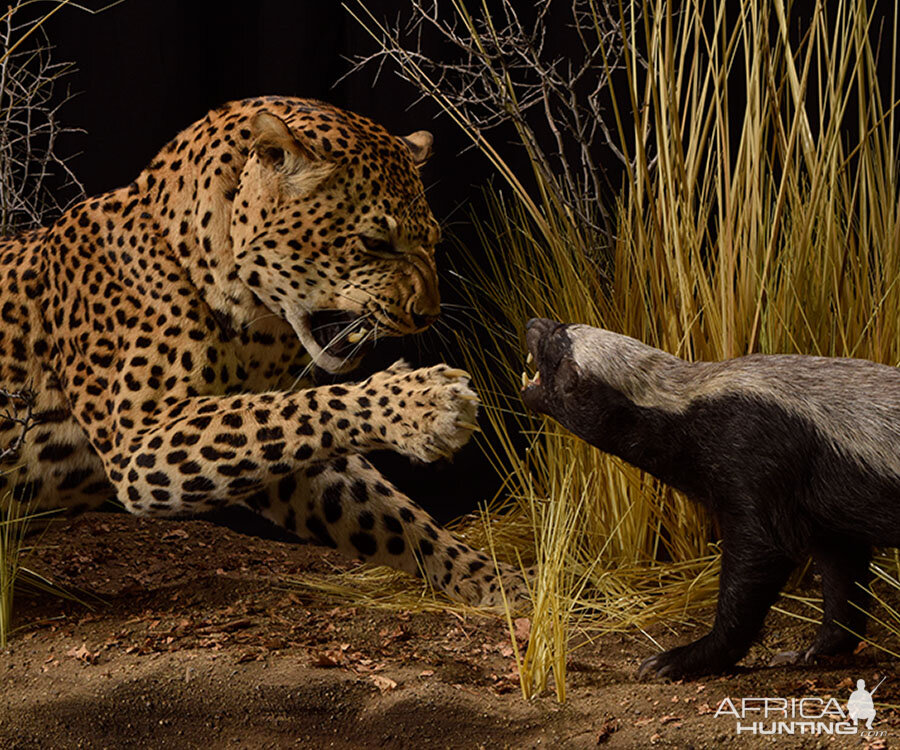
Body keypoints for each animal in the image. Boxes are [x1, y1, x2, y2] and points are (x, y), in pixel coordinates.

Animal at [0, 95, 530, 610]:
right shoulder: (139, 442)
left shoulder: (293, 464)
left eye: (433, 242)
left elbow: (386, 512)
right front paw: (421, 403)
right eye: (375, 243)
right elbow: (290, 408)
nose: (427, 314)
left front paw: (492, 580)